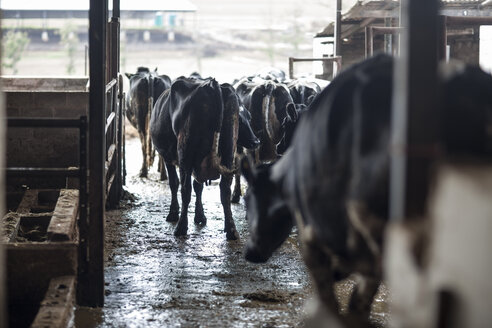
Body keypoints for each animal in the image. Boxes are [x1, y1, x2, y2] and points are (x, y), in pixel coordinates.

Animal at [149, 77, 258, 241]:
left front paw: (174, 213)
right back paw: (231, 230)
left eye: (250, 118)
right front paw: (200, 216)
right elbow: (198, 186)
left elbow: (175, 183)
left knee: (185, 189)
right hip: (227, 154)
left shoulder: (168, 156)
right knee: (224, 191)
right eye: (243, 120)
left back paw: (181, 227)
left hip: (185, 154)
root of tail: (214, 84)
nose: (256, 141)